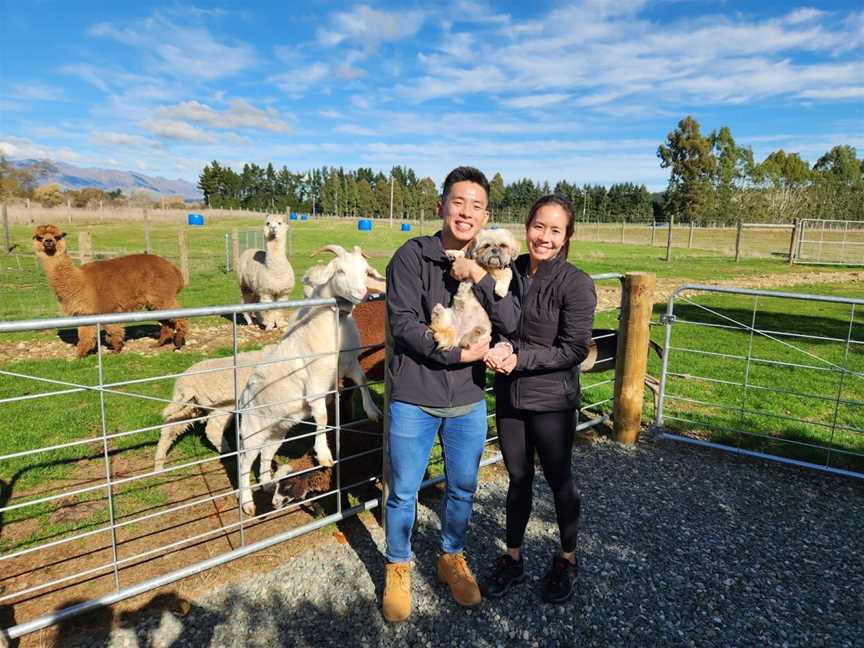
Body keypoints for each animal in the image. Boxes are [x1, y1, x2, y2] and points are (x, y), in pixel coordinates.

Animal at [33, 221, 187, 354]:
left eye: (57, 236)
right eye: (39, 237)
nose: (48, 242)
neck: (80, 281)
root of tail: (174, 270)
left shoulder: (105, 308)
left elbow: (111, 330)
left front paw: (114, 350)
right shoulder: (85, 312)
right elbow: (86, 335)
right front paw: (82, 354)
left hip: (163, 295)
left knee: (179, 315)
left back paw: (178, 343)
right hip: (154, 301)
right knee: (167, 321)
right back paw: (158, 344)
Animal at [238, 246, 384, 512]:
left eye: (365, 271)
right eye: (339, 270)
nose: (362, 292)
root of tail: (243, 396)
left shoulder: (349, 366)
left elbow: (363, 382)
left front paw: (372, 411)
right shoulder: (316, 384)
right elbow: (323, 417)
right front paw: (324, 454)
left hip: (277, 429)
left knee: (266, 453)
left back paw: (267, 484)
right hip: (252, 430)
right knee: (245, 462)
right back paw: (247, 503)